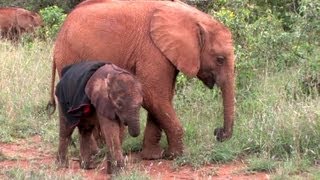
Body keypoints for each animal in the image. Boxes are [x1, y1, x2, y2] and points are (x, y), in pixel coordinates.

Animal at [49, 0, 235, 160]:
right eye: (220, 59)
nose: (218, 132)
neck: (192, 18)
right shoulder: (151, 49)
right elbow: (152, 95)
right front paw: (176, 156)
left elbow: (162, 97)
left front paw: (154, 156)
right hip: (71, 58)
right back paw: (96, 153)